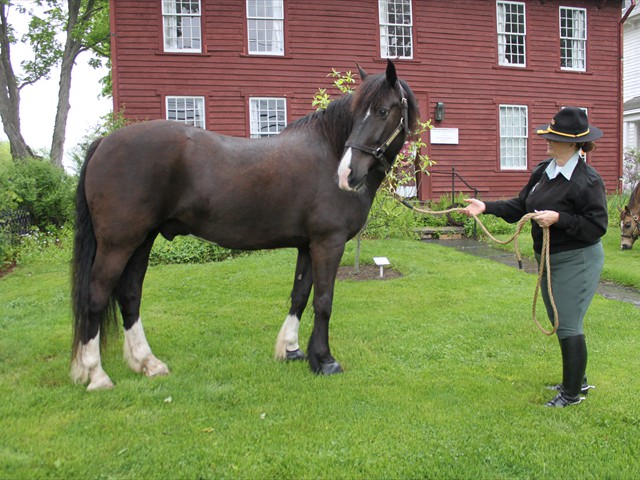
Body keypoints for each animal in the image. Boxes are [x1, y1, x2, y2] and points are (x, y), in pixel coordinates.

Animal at [71, 60, 419, 390]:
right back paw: (96, 374)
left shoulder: (307, 245)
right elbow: (323, 300)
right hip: (118, 243)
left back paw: (147, 363)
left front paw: (292, 350)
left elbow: (299, 295)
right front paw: (324, 360)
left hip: (142, 241)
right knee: (96, 295)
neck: (327, 153)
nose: (348, 174)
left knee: (129, 294)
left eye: (382, 111)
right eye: (357, 113)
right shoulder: (327, 243)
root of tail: (104, 142)